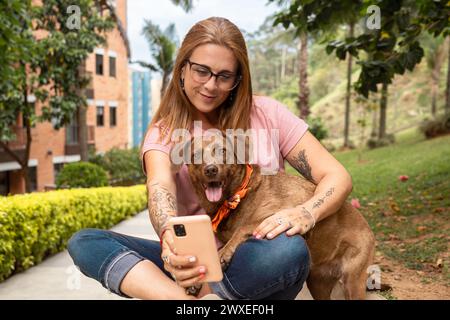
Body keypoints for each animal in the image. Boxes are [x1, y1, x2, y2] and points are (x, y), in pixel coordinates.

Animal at [176, 133, 376, 300]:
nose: (210, 169)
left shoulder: (282, 211)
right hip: (318, 283)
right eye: (196, 155)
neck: (235, 198)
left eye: (223, 151)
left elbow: (243, 228)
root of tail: (367, 227)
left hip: (353, 281)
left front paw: (223, 255)